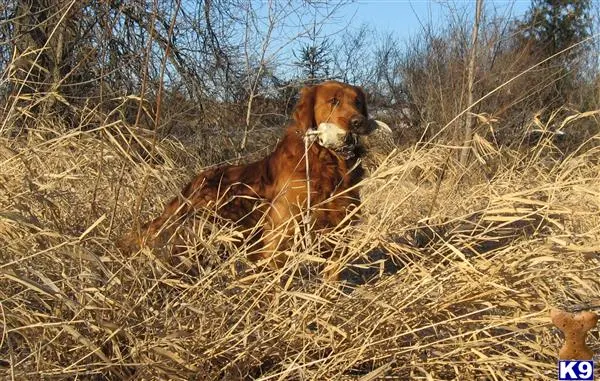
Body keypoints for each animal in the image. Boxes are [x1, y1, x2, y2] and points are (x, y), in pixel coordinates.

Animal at [120, 80, 392, 278]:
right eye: (333, 101)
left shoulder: (337, 231)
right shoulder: (281, 234)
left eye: (358, 102)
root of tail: (191, 185)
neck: (326, 165)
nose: (359, 122)